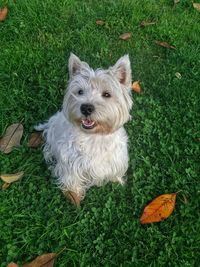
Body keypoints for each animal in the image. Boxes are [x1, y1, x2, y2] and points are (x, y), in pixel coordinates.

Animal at [36, 54, 133, 205]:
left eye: (107, 94)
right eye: (80, 91)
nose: (86, 107)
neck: (94, 136)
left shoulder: (115, 159)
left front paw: (117, 181)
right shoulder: (69, 163)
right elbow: (71, 178)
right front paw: (74, 194)